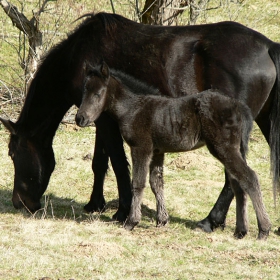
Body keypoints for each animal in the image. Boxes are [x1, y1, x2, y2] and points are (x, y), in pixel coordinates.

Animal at [76, 61, 272, 241]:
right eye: (83, 91)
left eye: (98, 93)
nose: (80, 118)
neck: (133, 108)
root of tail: (239, 106)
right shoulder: (157, 151)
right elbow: (156, 182)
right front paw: (162, 220)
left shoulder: (141, 148)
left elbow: (138, 183)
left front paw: (131, 222)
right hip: (233, 150)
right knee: (238, 184)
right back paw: (240, 231)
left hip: (224, 148)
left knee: (249, 178)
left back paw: (263, 230)